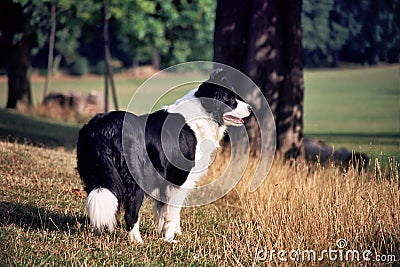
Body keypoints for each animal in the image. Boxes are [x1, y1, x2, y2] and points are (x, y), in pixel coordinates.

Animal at [76, 69, 252, 245]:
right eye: (231, 99)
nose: (250, 108)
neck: (203, 113)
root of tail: (103, 127)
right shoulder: (179, 180)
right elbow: (172, 212)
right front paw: (170, 238)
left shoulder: (166, 180)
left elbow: (163, 209)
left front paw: (169, 233)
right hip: (135, 178)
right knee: (131, 213)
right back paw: (138, 242)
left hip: (95, 173)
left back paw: (98, 234)